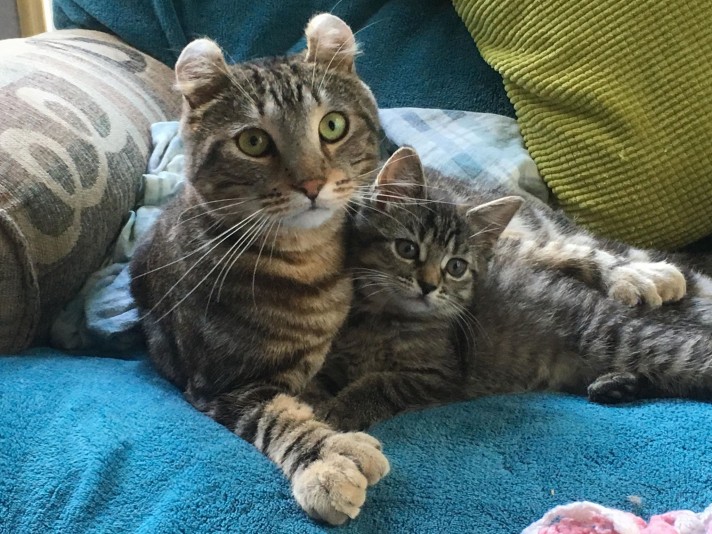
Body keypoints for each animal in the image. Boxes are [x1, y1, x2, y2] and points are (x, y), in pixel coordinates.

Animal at [131, 15, 392, 528]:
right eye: (252, 142)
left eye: (333, 125)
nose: (312, 183)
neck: (306, 263)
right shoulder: (222, 384)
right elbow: (279, 417)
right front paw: (330, 457)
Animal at [306, 149, 712, 434]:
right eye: (407, 249)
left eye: (455, 266)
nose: (428, 284)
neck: (383, 320)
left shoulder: (442, 374)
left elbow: (380, 384)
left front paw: (340, 409)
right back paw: (616, 384)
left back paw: (647, 278)